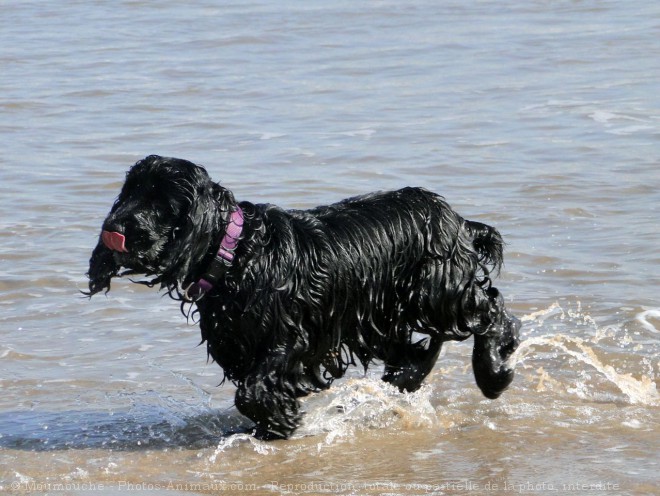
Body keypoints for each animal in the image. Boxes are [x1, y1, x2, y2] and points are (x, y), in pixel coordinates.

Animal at [87, 155, 520, 438]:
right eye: (129, 192)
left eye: (161, 201)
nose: (114, 226)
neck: (238, 256)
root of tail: (457, 220)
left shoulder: (293, 336)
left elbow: (254, 391)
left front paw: (280, 423)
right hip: (385, 318)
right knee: (416, 353)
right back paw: (403, 383)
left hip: (441, 294)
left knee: (493, 312)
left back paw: (494, 375)